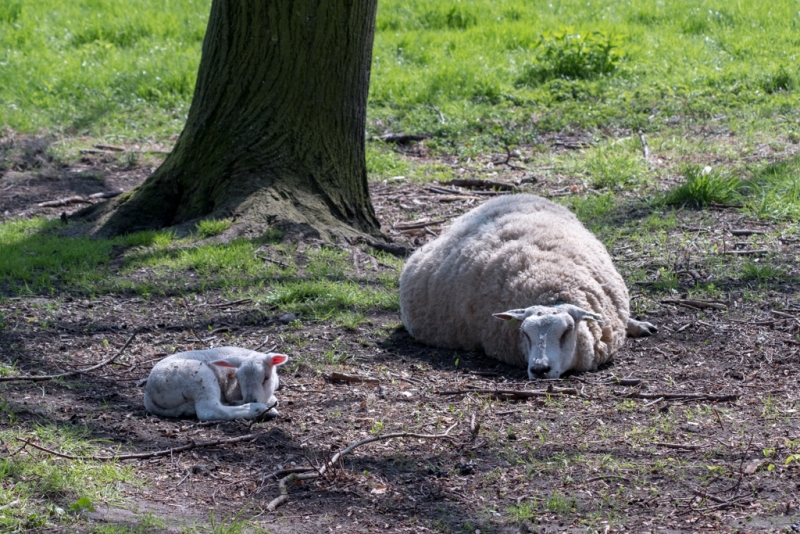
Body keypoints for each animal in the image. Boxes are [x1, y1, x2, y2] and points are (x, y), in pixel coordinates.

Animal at [143, 348, 288, 422]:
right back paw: (260, 410)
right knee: (209, 410)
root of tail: (149, 394)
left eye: (266, 378)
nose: (250, 400)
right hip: (199, 378)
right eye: (238, 379)